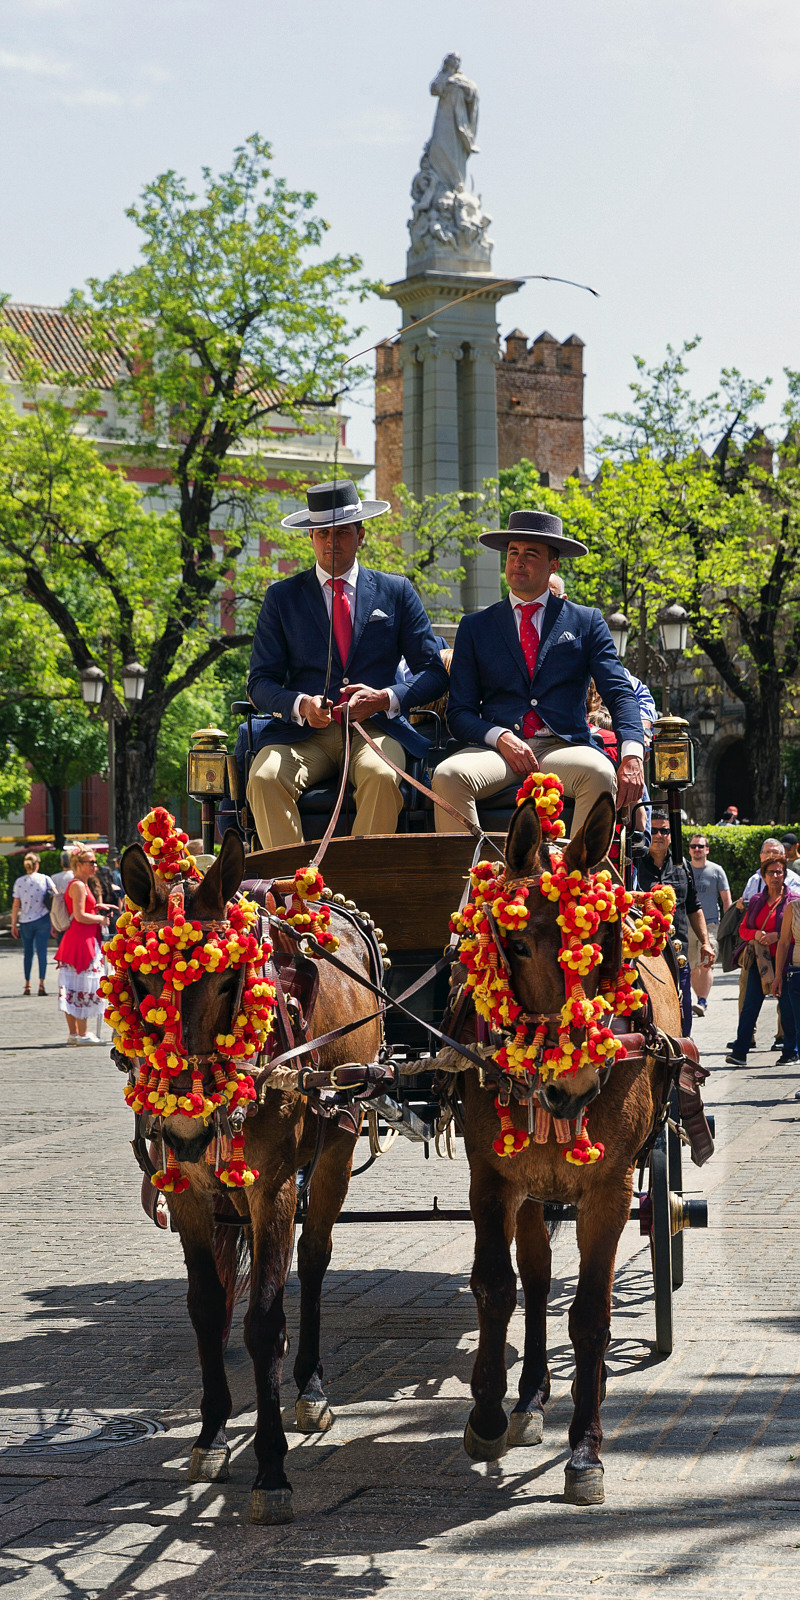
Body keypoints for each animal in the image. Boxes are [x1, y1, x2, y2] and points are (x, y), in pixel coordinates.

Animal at [120, 825, 382, 1523]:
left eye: (227, 980)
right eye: (137, 981)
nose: (186, 1128)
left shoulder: (272, 1189)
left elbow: (264, 1322)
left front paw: (270, 1469)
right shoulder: (188, 1189)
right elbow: (206, 1306)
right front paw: (211, 1436)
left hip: (339, 1138)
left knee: (314, 1259)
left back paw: (311, 1387)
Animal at [460, 793, 678, 1504]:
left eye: (604, 942)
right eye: (517, 942)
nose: (575, 1083)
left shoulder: (608, 1187)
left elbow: (590, 1315)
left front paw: (585, 1448)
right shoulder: (492, 1175)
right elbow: (496, 1286)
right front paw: (487, 1414)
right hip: (532, 1187)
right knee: (533, 1275)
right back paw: (528, 1396)